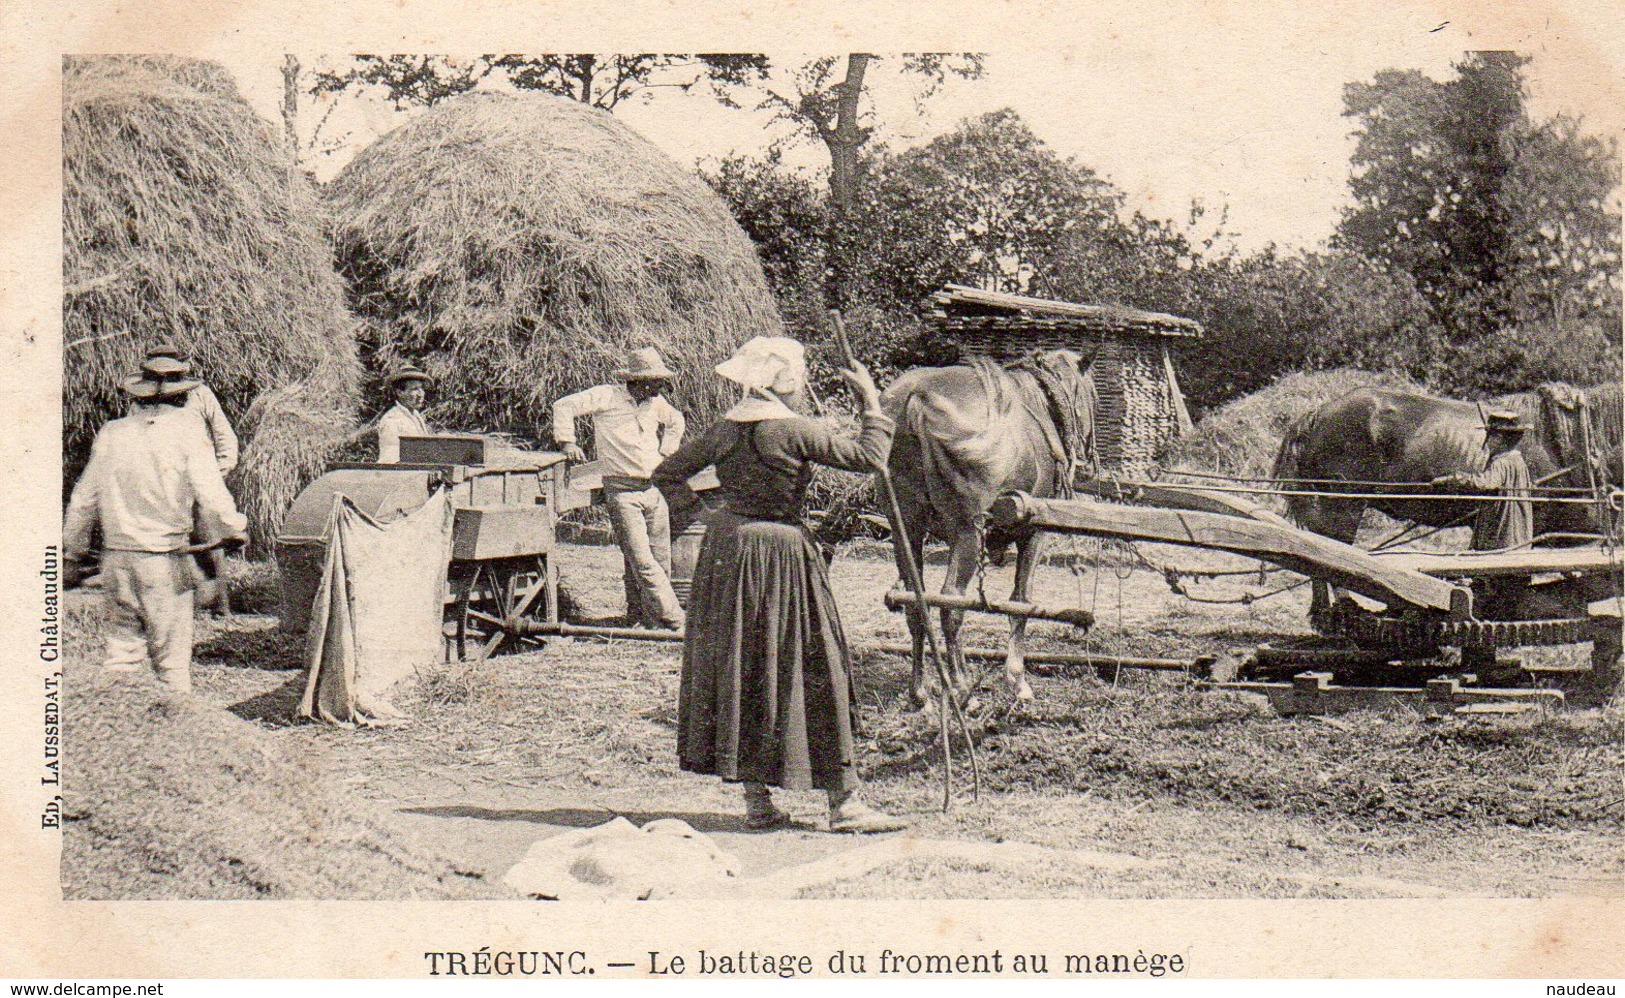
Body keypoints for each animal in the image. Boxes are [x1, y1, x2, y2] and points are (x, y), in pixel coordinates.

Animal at [884, 347, 1098, 708]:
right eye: (1092, 396)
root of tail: (916, 400)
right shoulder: (1034, 535)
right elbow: (1021, 602)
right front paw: (1017, 679)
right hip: (968, 533)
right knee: (951, 602)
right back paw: (961, 688)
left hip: (906, 529)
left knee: (917, 602)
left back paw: (920, 690)